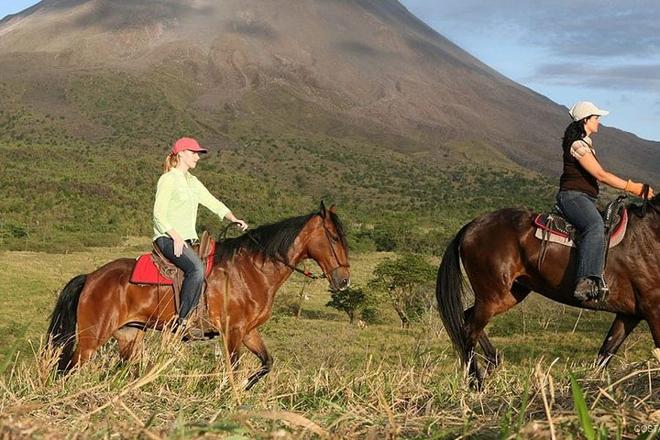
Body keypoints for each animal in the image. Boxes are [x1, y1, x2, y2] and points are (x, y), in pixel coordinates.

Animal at [47, 203, 350, 388]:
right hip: (91, 338)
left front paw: (245, 389)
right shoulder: (233, 332)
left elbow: (266, 364)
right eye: (335, 238)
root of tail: (91, 277)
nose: (344, 281)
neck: (252, 270)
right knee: (69, 369)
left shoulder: (248, 331)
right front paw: (232, 395)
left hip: (129, 336)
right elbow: (234, 369)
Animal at [436, 197, 656, 388]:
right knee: (469, 331)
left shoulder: (629, 314)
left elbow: (605, 353)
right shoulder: (653, 309)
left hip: (508, 294)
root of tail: (470, 226)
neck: (649, 234)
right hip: (492, 295)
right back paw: (476, 384)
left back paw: (492, 362)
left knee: (468, 318)